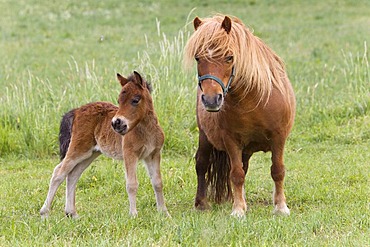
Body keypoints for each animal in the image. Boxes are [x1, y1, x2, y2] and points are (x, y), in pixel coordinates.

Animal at [39, 71, 169, 218]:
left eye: (135, 100)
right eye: (119, 101)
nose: (116, 123)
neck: (146, 131)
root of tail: (77, 110)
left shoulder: (153, 154)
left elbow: (157, 182)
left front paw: (164, 213)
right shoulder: (130, 154)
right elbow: (132, 184)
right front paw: (133, 215)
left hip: (90, 154)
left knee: (73, 175)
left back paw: (72, 213)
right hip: (78, 148)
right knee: (59, 173)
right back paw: (44, 213)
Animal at [184, 14, 296, 216]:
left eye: (229, 57)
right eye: (197, 58)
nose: (211, 99)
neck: (253, 100)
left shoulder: (279, 138)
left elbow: (277, 170)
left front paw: (281, 207)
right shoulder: (231, 140)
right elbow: (236, 174)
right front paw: (238, 210)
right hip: (205, 136)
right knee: (202, 163)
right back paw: (202, 203)